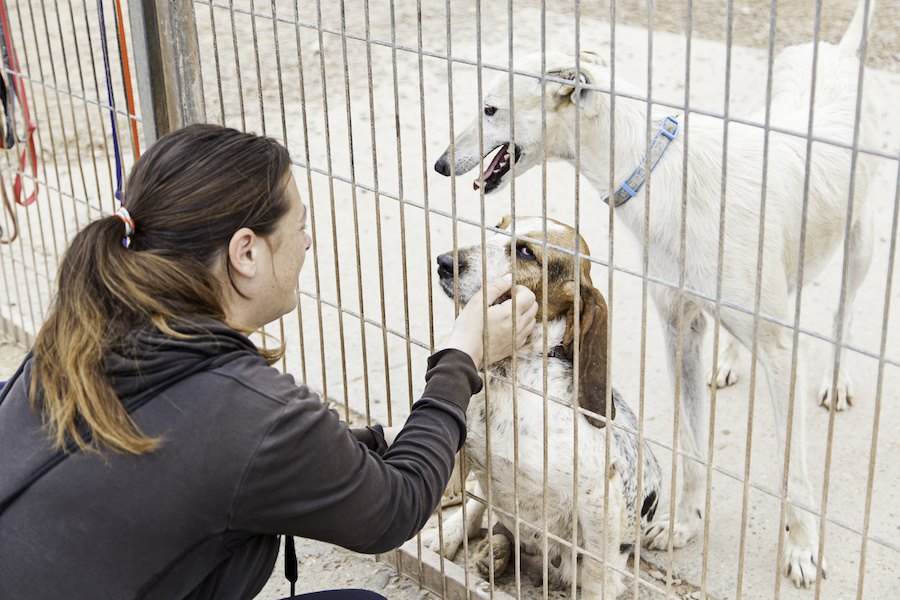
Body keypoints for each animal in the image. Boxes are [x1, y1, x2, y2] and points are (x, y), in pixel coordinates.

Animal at [432, 1, 876, 592]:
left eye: (490, 108)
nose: (439, 163)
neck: (663, 174)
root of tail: (841, 55)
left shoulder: (781, 352)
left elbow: (793, 471)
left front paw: (802, 549)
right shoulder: (678, 329)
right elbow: (689, 444)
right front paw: (684, 523)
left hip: (860, 245)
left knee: (844, 312)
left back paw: (835, 379)